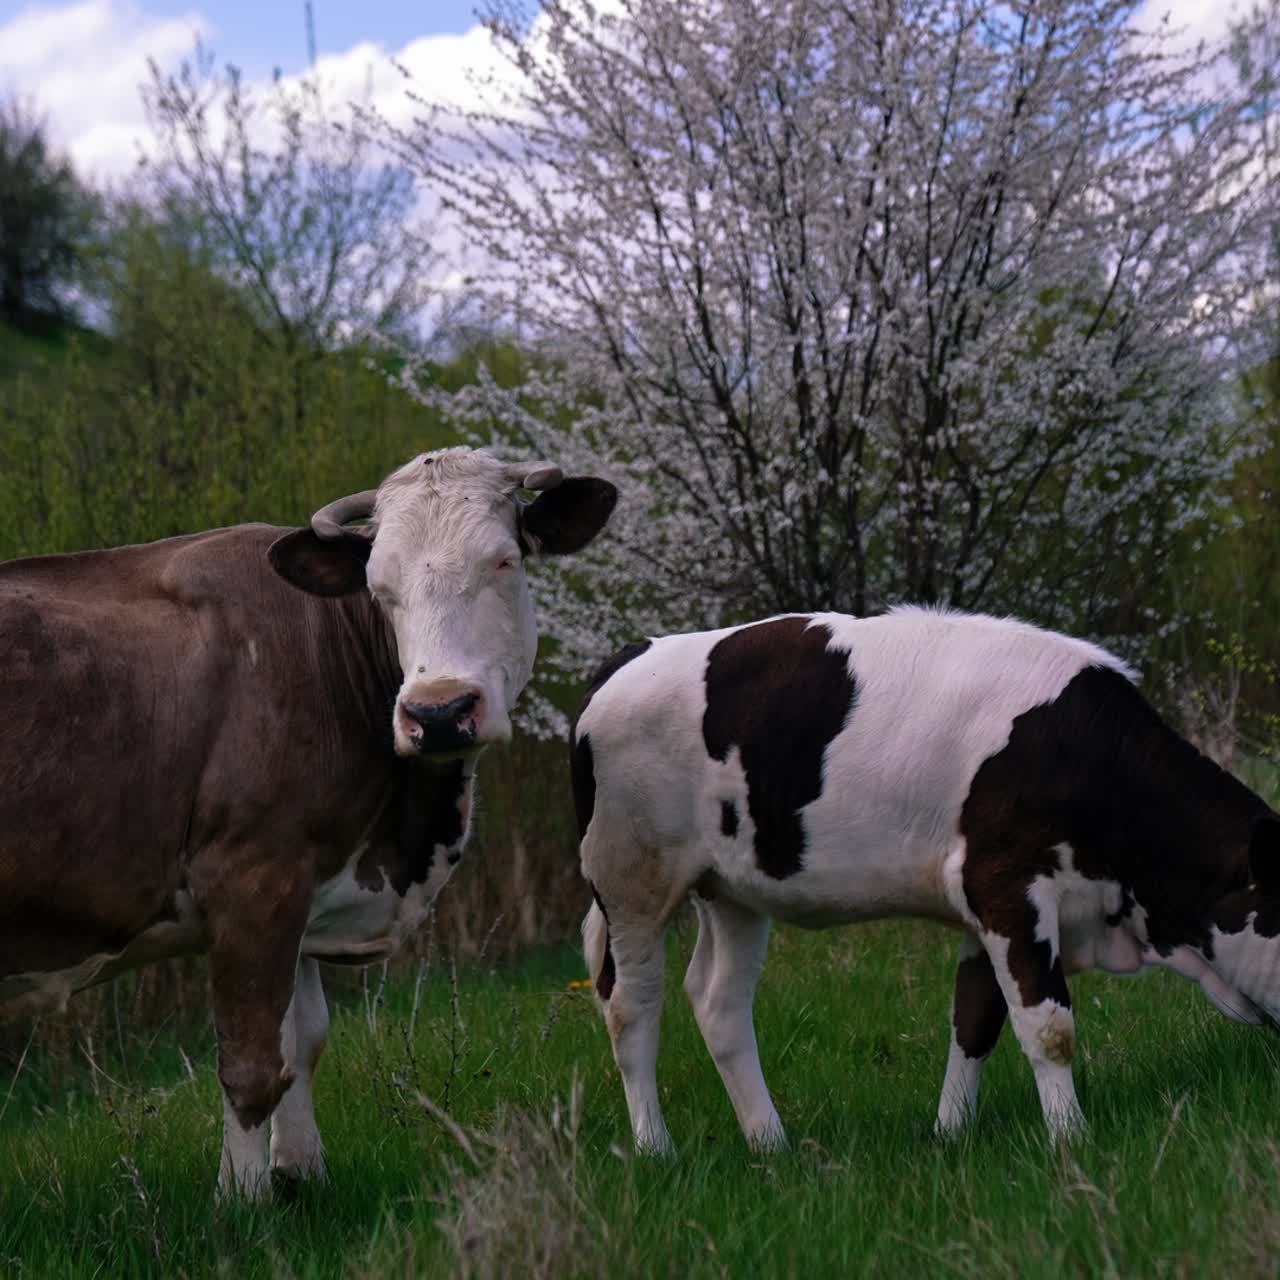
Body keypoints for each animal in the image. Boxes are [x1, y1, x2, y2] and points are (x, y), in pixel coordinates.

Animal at [0, 446, 616, 1197]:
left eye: (503, 560)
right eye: (380, 588)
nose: (438, 712)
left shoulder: (301, 878)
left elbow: (303, 1039)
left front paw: (299, 1172)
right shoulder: (251, 876)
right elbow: (251, 1063)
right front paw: (242, 1202)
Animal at [571, 607, 1280, 1154]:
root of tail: (632, 655)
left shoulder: (985, 906)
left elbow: (976, 1019)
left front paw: (950, 1133)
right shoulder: (1006, 884)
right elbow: (1049, 1026)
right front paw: (1070, 1139)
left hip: (733, 890)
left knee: (719, 1002)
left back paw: (771, 1144)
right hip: (631, 878)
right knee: (631, 1007)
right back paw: (655, 1148)